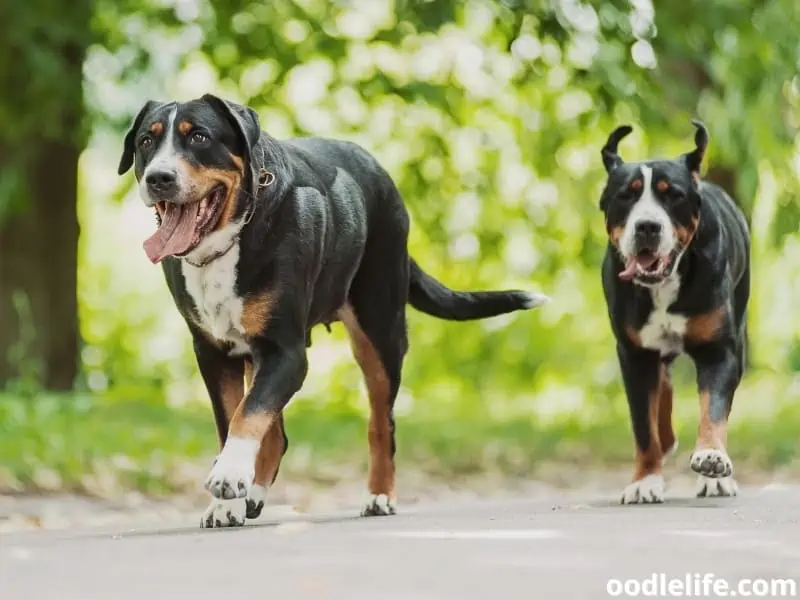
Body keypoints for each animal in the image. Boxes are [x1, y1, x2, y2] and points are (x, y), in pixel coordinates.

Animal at [115, 95, 548, 528]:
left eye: (199, 137)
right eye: (146, 141)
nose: (159, 178)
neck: (232, 238)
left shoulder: (287, 352)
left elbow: (248, 413)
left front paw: (229, 477)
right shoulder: (214, 353)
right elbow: (234, 418)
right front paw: (227, 501)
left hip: (380, 332)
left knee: (381, 423)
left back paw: (379, 496)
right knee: (278, 433)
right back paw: (254, 494)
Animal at [600, 120, 752, 502]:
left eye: (673, 195)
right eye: (626, 195)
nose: (647, 226)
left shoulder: (719, 351)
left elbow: (714, 409)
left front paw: (712, 460)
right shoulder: (634, 354)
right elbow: (643, 425)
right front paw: (644, 480)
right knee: (662, 384)